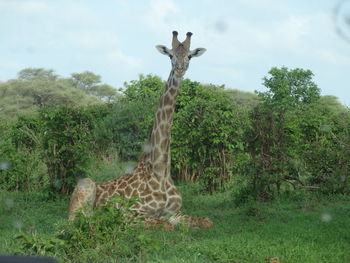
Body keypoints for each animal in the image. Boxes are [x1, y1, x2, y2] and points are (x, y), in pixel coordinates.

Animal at [67, 31, 211, 231]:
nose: (180, 69)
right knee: (76, 221)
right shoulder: (131, 213)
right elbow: (167, 226)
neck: (160, 172)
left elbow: (207, 222)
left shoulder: (174, 213)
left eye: (189, 56)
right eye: (170, 55)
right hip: (85, 184)